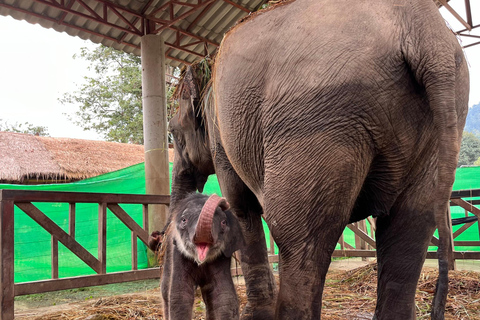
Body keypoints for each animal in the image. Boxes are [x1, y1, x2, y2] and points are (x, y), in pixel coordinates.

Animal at [159, 192, 246, 320]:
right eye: (184, 220)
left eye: (223, 222)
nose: (224, 202)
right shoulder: (178, 254)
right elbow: (180, 296)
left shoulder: (222, 257)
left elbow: (224, 295)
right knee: (165, 289)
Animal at [168, 1, 468, 318]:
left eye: (172, 132)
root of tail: (424, 30)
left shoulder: (221, 137)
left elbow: (240, 208)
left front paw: (255, 314)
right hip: (437, 122)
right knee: (409, 228)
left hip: (317, 113)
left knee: (298, 235)